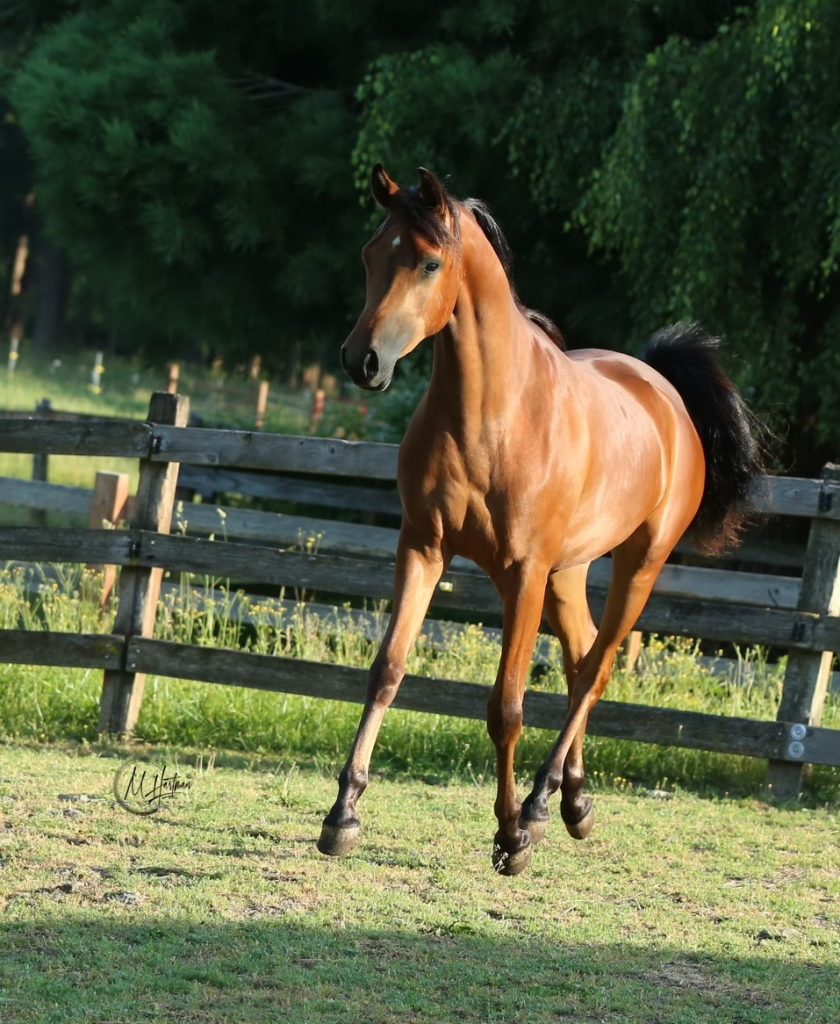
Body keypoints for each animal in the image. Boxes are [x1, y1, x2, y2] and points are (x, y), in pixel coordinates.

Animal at [318, 164, 764, 875]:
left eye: (429, 262)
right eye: (370, 254)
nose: (363, 361)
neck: (492, 415)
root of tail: (662, 389)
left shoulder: (522, 573)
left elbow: (506, 706)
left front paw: (509, 838)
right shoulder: (423, 547)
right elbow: (386, 671)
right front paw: (343, 816)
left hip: (637, 564)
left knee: (596, 669)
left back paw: (536, 807)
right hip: (566, 574)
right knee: (582, 658)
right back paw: (571, 802)